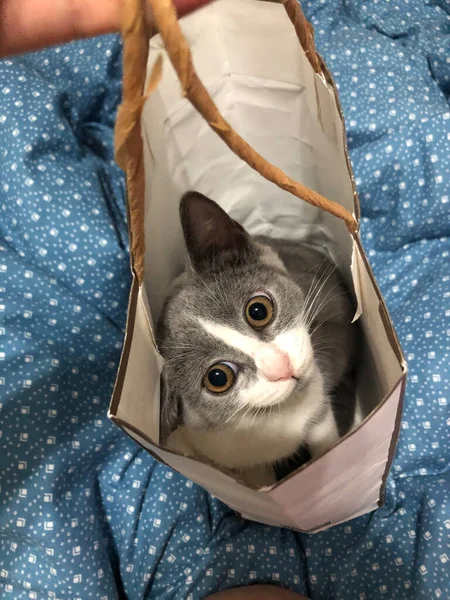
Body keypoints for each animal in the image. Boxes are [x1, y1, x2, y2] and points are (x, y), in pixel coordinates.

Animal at [156, 192, 360, 488]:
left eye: (258, 311)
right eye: (218, 377)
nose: (282, 367)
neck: (279, 416)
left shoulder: (320, 406)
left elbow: (327, 443)